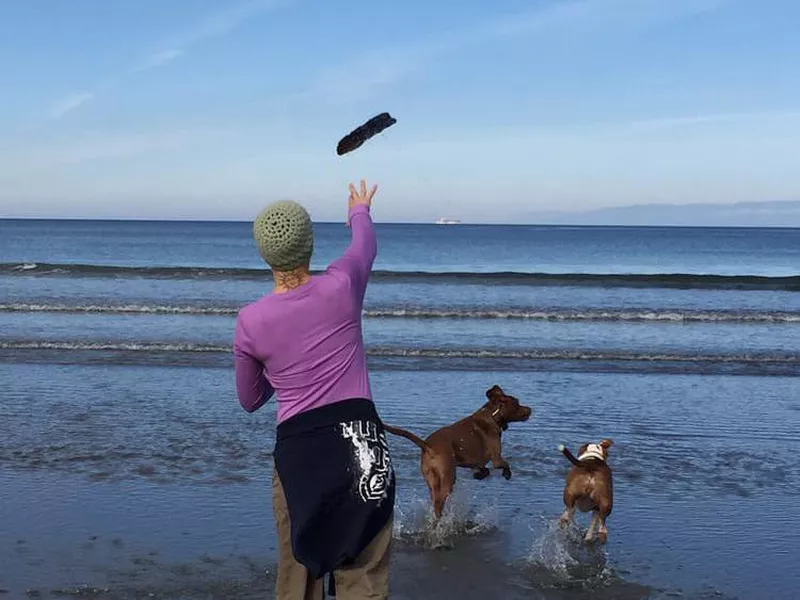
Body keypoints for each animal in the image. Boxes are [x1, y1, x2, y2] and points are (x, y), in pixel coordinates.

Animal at [382, 386, 532, 516]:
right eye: (517, 402)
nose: (530, 409)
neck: (493, 416)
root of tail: (427, 445)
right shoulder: (496, 457)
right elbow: (505, 464)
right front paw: (507, 474)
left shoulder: (476, 462)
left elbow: (484, 470)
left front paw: (479, 475)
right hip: (448, 477)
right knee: (439, 501)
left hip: (431, 478)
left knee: (434, 498)